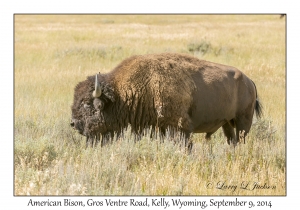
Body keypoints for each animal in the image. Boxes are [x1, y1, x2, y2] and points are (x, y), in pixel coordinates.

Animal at [71, 53, 262, 151]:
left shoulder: (179, 127)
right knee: (232, 140)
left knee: (241, 138)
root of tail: (249, 81)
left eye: (87, 103)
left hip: (243, 121)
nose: (73, 123)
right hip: (227, 124)